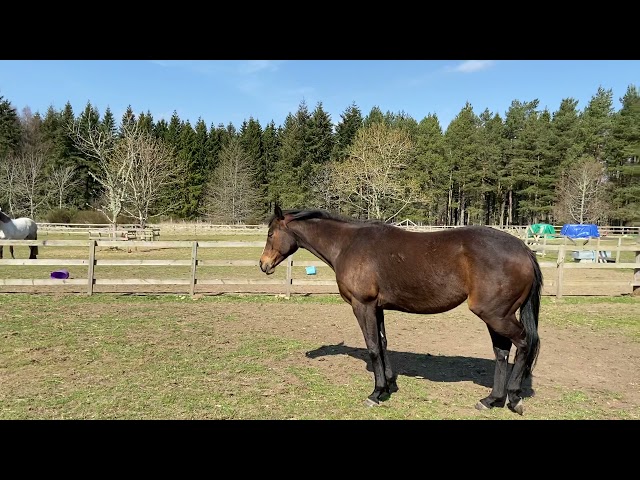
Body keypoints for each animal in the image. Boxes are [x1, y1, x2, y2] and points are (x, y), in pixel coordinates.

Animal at [259, 206, 542, 415]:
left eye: (271, 234)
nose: (263, 265)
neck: (348, 244)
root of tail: (523, 249)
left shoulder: (363, 306)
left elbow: (373, 346)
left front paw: (375, 393)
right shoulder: (377, 307)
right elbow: (383, 344)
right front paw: (389, 385)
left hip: (496, 315)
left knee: (524, 343)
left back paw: (514, 398)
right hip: (496, 317)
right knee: (501, 352)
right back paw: (491, 400)